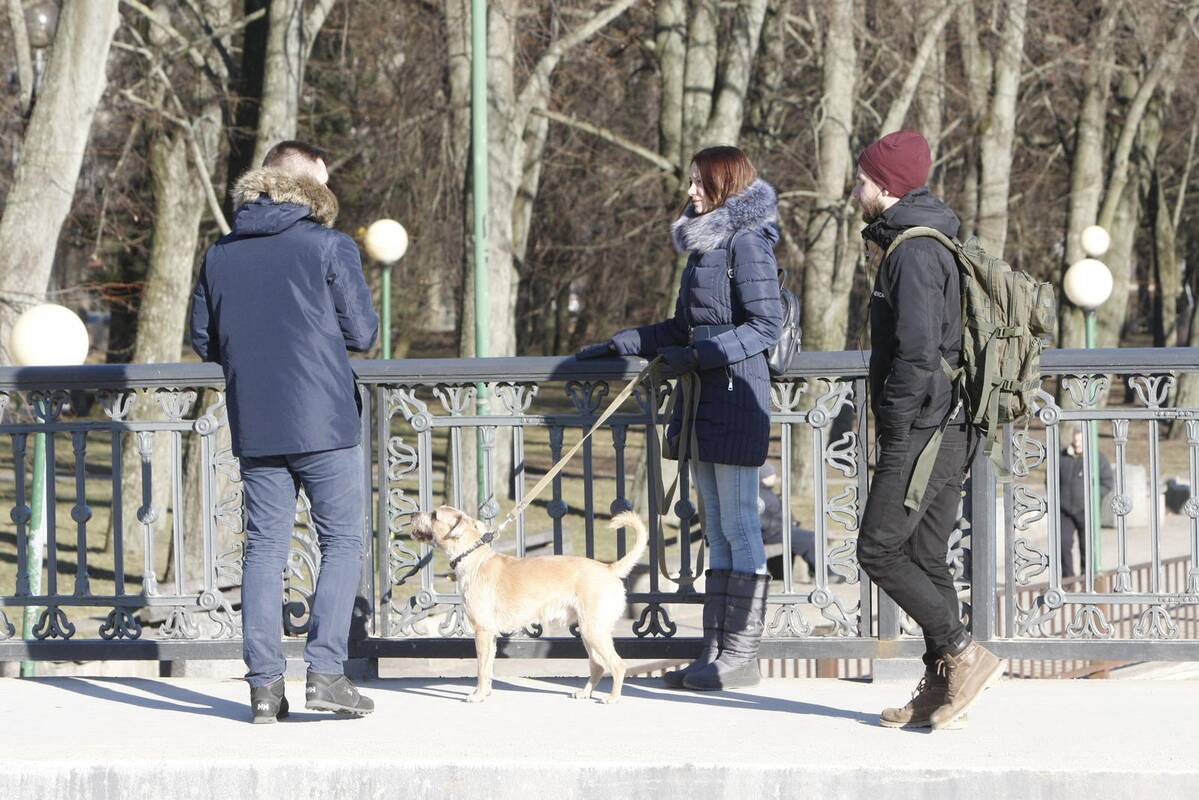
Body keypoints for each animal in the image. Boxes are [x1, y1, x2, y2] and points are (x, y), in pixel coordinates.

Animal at [411, 505, 648, 704]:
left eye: (434, 515)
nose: (413, 514)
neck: (473, 558)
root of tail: (609, 568)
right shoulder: (491, 636)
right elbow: (488, 667)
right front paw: (485, 692)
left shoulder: (482, 632)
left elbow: (481, 668)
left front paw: (478, 695)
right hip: (589, 633)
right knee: (598, 665)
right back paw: (584, 693)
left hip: (594, 631)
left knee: (618, 665)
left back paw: (613, 698)